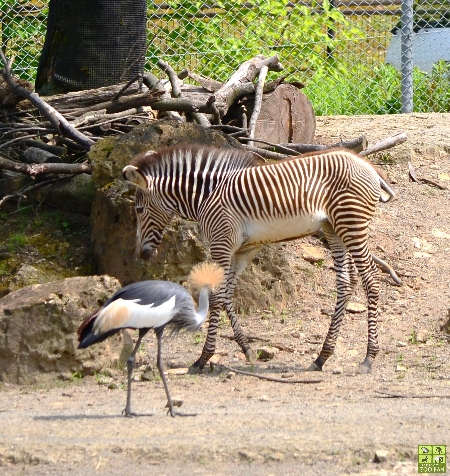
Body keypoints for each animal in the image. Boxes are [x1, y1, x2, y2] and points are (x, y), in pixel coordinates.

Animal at [123, 145, 398, 376]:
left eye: (138, 210)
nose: (141, 255)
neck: (205, 197)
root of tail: (368, 165)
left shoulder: (221, 245)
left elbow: (216, 296)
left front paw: (203, 358)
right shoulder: (241, 251)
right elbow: (227, 295)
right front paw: (246, 349)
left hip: (351, 224)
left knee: (371, 280)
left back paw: (368, 358)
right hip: (333, 229)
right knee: (346, 283)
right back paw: (322, 357)